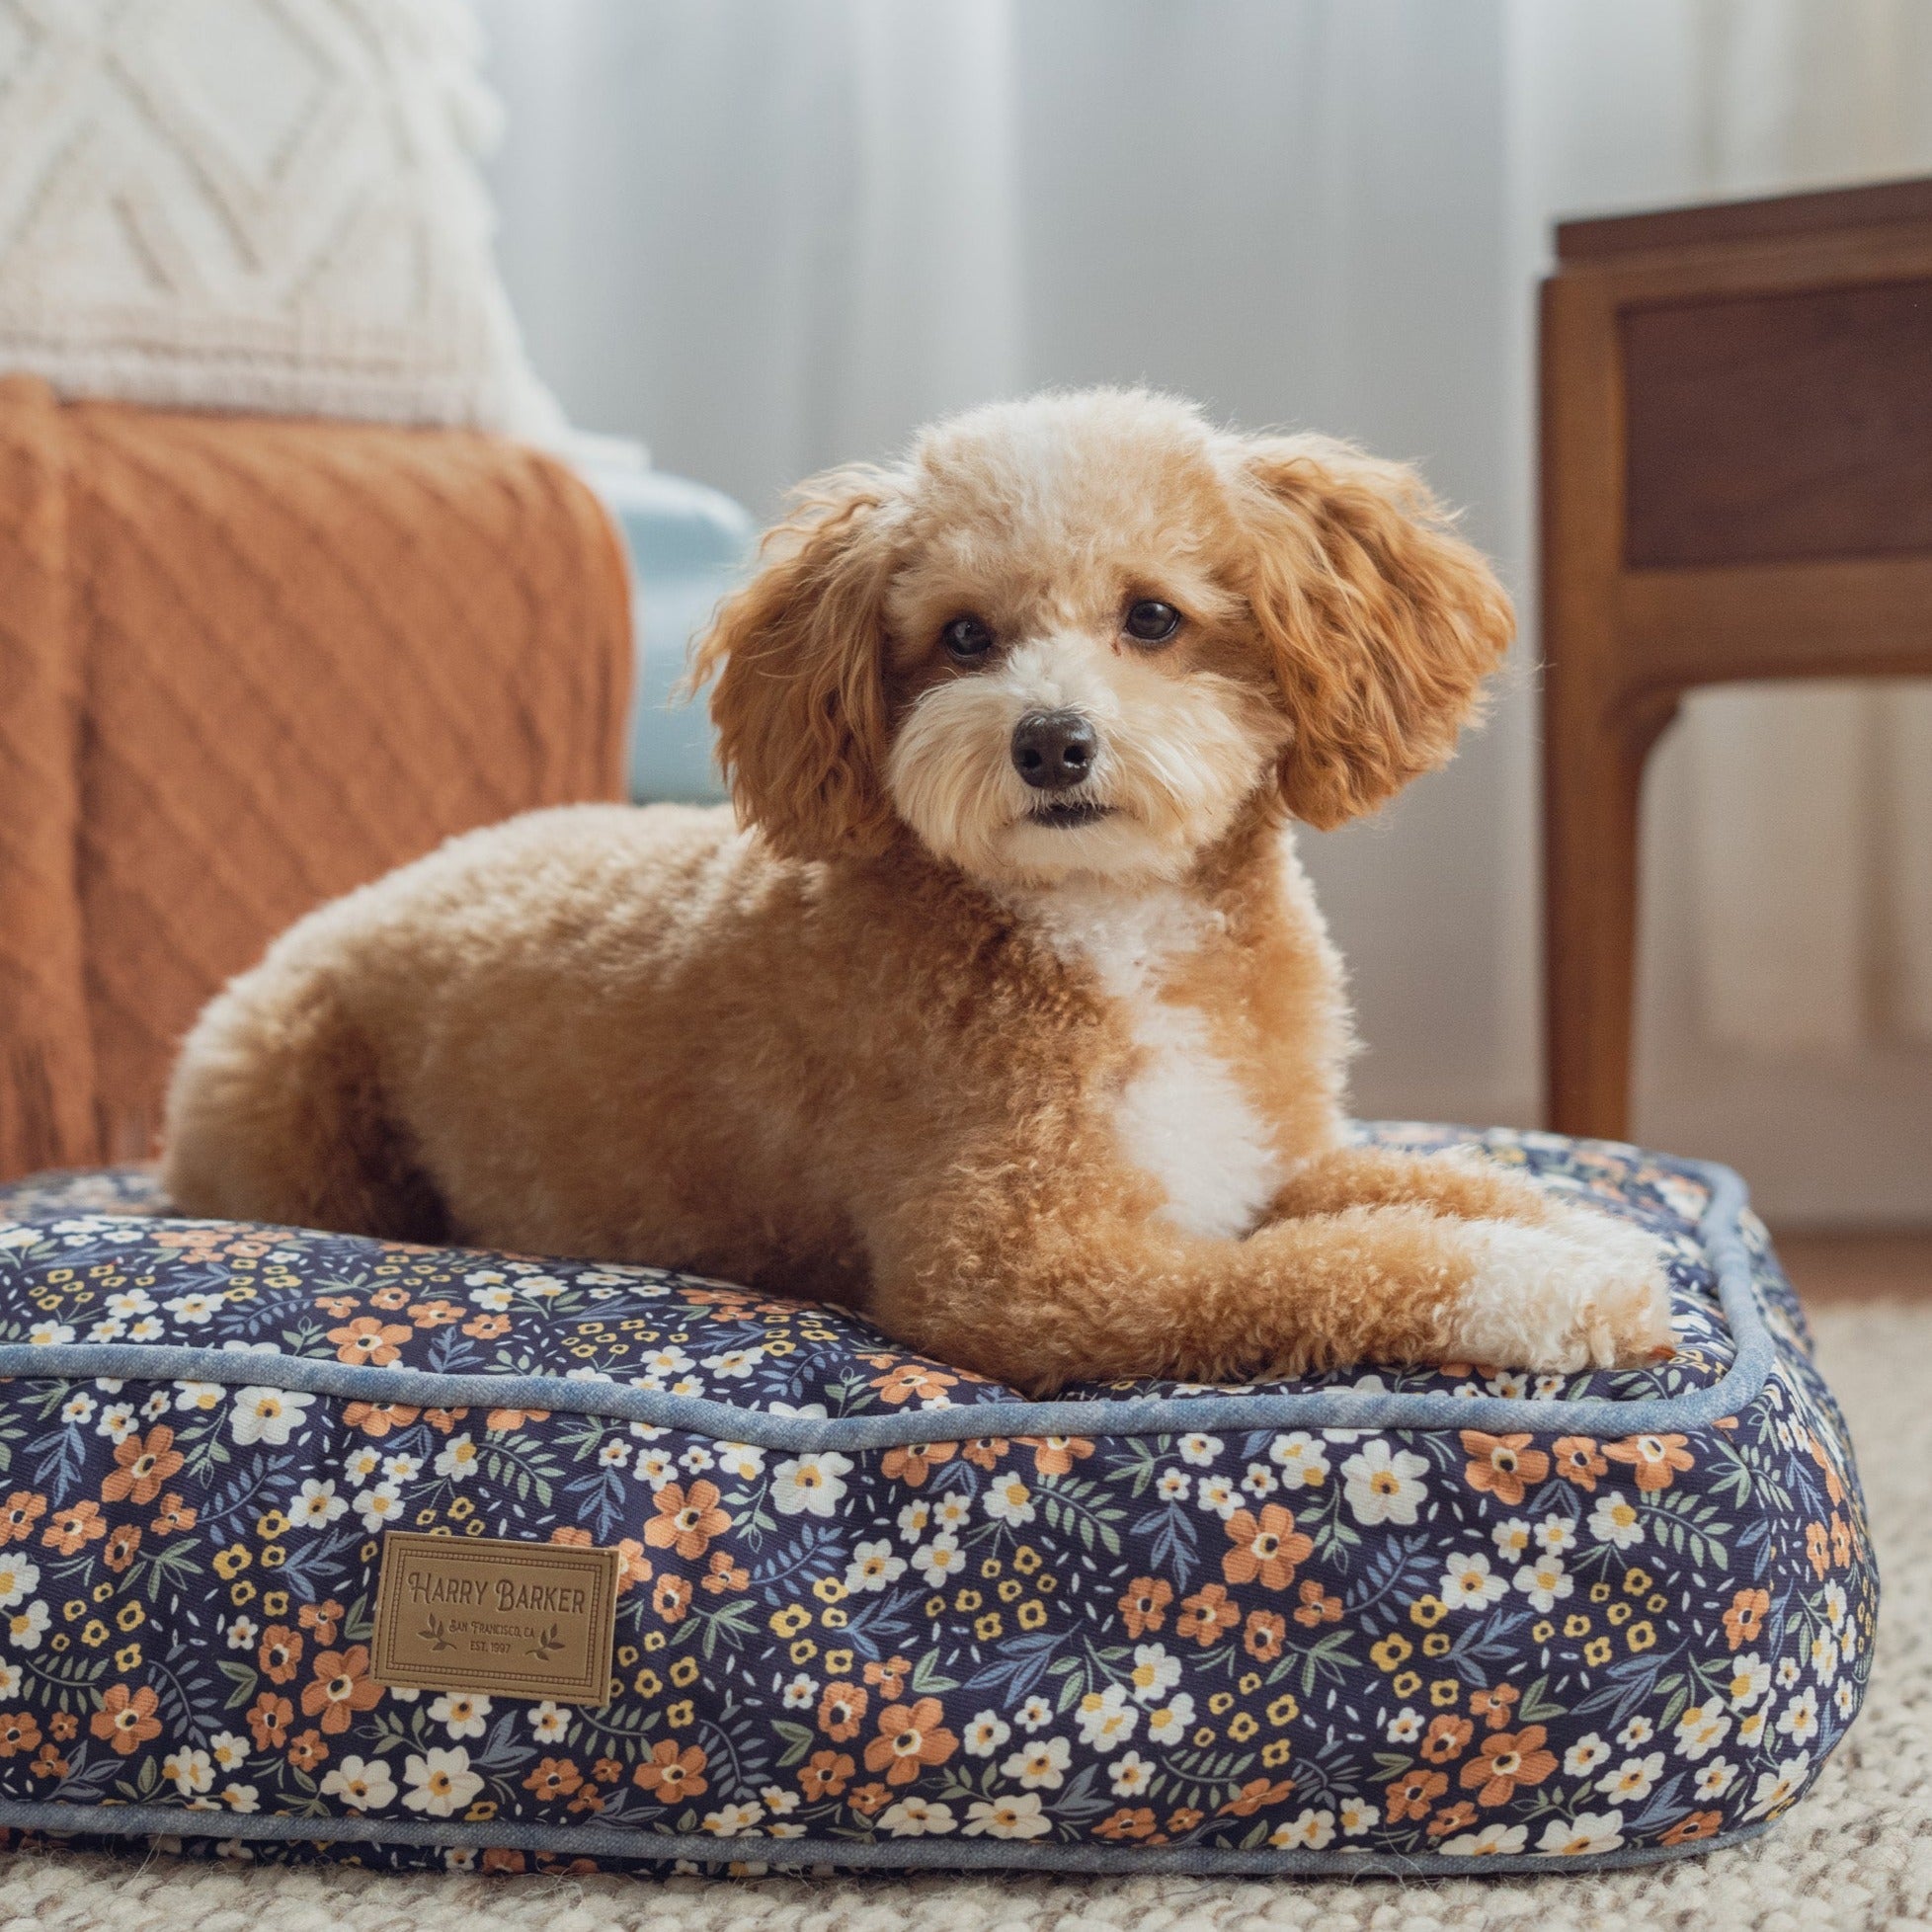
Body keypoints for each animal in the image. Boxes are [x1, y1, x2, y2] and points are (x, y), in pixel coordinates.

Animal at [162, 388, 1676, 1391]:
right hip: (297, 1118)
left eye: (1152, 618)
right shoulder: (1031, 1273)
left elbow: (1423, 1183)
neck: (1110, 928)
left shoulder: (1265, 1158)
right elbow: (1341, 1269)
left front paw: (1581, 1220)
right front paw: (1560, 1287)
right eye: (962, 637)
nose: (1050, 741)